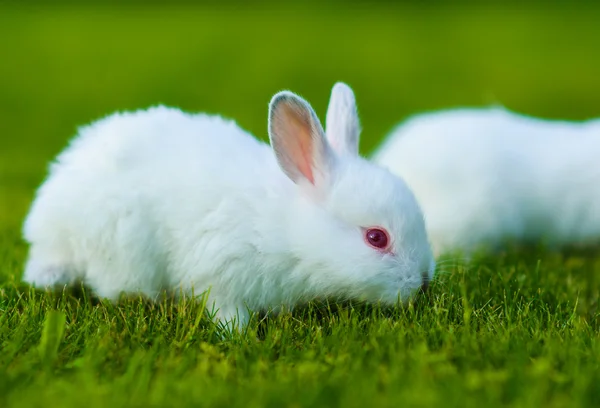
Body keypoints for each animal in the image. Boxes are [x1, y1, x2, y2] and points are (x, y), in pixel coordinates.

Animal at [22, 82, 436, 328]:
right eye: (376, 238)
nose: (423, 283)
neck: (289, 228)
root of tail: (50, 234)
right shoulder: (218, 272)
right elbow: (224, 308)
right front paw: (238, 333)